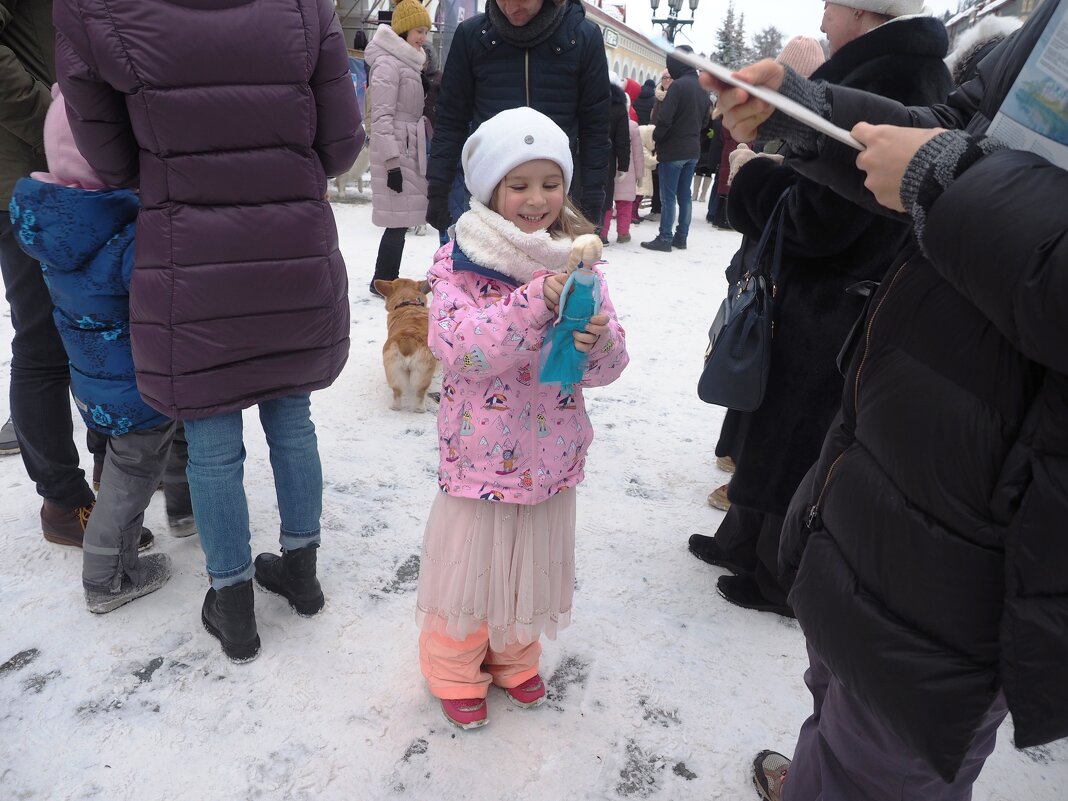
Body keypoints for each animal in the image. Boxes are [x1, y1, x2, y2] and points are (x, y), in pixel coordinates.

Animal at [369, 277, 431, 414]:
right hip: (423, 375)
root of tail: (407, 342)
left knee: (397, 392)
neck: (408, 303)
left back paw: (395, 407)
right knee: (420, 394)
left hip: (394, 370)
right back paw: (421, 409)